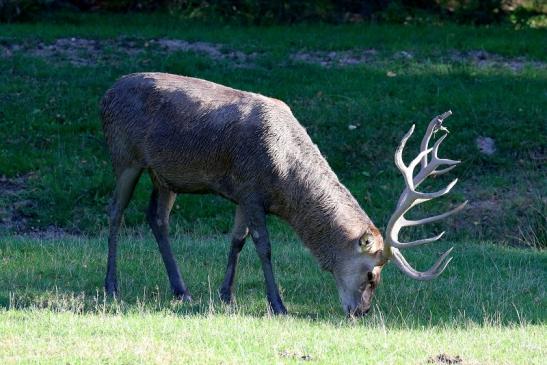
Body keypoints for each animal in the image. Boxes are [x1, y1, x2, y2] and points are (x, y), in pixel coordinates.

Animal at [99, 72, 466, 314]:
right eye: (371, 275)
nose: (360, 312)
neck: (284, 182)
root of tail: (106, 93)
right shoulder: (250, 190)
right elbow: (263, 246)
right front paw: (278, 304)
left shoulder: (242, 194)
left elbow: (237, 240)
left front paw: (226, 296)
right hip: (124, 154)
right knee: (115, 212)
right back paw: (111, 286)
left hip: (164, 175)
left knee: (157, 218)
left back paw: (182, 291)